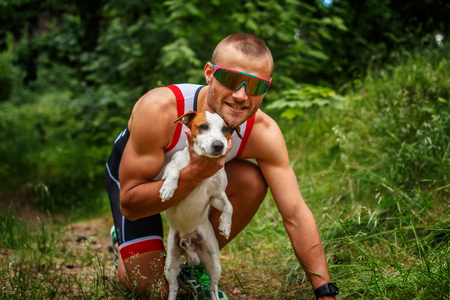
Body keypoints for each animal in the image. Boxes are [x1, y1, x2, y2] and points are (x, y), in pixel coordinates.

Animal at [159, 110, 239, 300]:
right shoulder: (170, 168)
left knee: (213, 286)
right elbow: (174, 172)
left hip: (214, 263)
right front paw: (169, 188)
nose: (218, 145)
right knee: (173, 287)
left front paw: (225, 225)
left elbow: (229, 206)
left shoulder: (216, 196)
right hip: (170, 265)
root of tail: (187, 239)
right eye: (203, 126)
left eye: (225, 129)